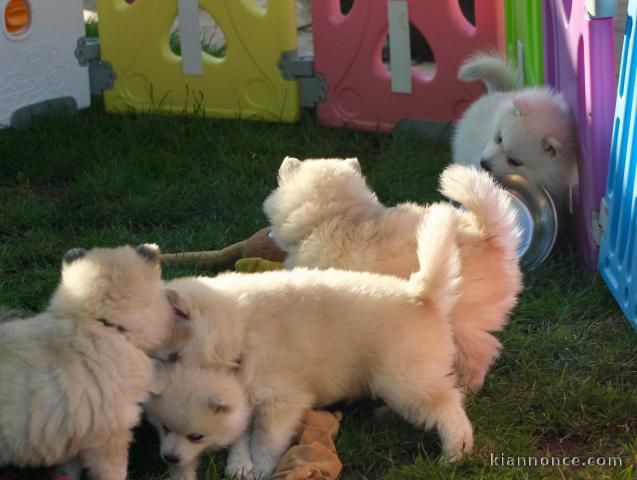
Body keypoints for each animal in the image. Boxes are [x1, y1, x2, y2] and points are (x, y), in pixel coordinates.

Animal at [150, 205, 472, 480]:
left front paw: (260, 469)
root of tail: (421, 296)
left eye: (171, 356)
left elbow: (266, 441)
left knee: (449, 407)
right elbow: (240, 434)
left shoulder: (281, 399)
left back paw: (455, 452)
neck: (239, 327)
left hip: (405, 380)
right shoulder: (245, 396)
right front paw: (240, 465)